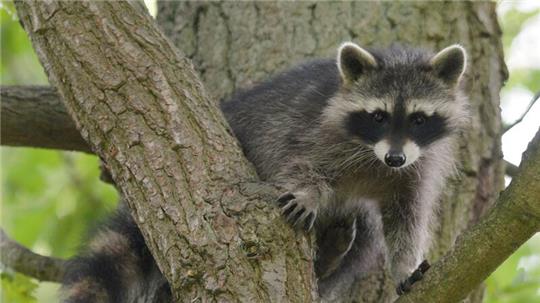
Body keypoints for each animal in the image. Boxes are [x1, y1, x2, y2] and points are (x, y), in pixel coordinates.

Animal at [59, 42, 466, 303]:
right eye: (378, 116)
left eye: (418, 119)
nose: (395, 158)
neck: (374, 156)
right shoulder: (313, 131)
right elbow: (299, 163)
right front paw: (307, 193)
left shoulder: (417, 167)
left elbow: (405, 218)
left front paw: (404, 267)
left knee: (365, 231)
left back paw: (328, 263)